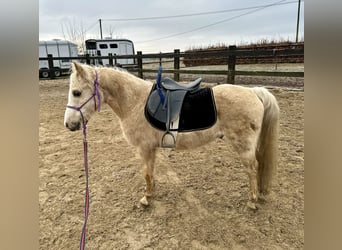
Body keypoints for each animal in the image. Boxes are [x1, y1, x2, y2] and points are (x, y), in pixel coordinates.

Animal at [65, 62, 280, 209]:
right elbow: (151, 173)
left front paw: (146, 199)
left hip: (243, 146)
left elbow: (146, 173)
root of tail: (254, 92)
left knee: (252, 168)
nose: (69, 124)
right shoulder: (151, 149)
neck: (135, 101)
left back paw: (252, 201)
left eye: (76, 92)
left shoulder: (144, 149)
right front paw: (151, 194)